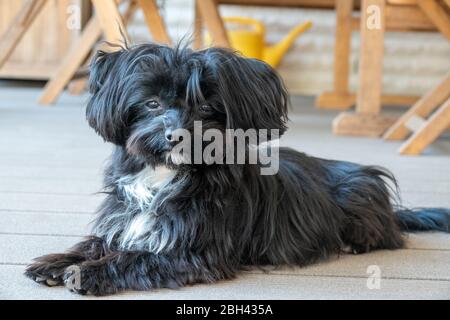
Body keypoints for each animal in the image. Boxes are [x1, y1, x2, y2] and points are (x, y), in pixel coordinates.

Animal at [25, 43, 450, 296]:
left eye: (205, 108)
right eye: (151, 103)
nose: (176, 135)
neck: (166, 175)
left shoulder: (194, 252)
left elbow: (136, 258)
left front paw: (87, 273)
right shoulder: (126, 219)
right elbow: (98, 241)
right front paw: (56, 262)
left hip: (360, 195)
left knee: (385, 237)